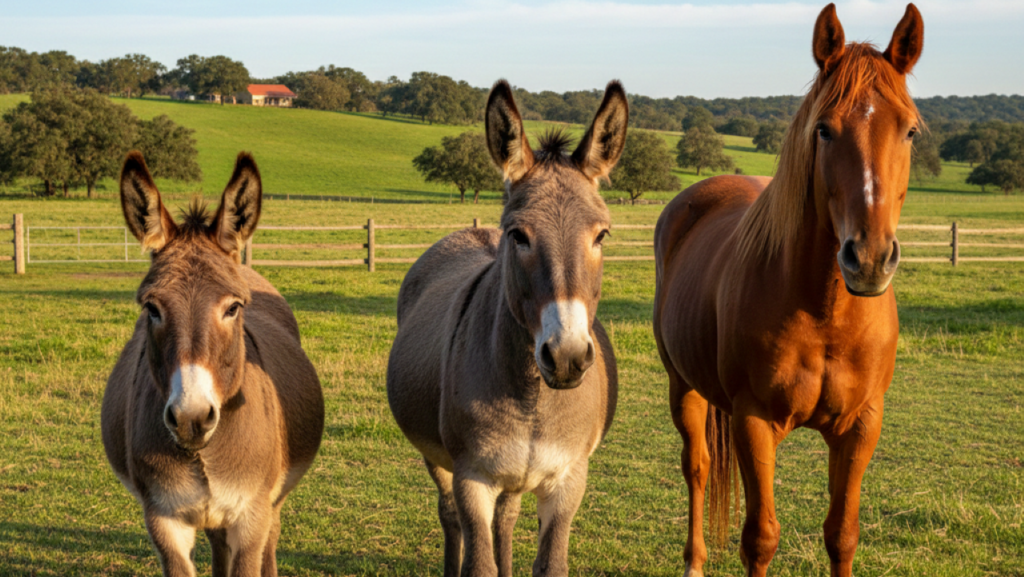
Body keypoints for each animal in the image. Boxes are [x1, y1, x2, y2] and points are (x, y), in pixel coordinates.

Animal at [101, 151, 325, 577]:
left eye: (233, 307)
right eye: (151, 308)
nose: (191, 417)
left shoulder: (251, 515)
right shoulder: (164, 520)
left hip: (271, 500)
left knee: (271, 539)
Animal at [386, 80, 626, 577]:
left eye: (601, 235)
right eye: (518, 235)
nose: (567, 356)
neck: (533, 397)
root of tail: (469, 232)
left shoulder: (568, 481)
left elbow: (550, 563)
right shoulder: (472, 476)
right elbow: (479, 563)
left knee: (507, 518)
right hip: (438, 458)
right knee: (448, 514)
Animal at [653, 4, 923, 576]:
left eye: (909, 131)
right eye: (824, 129)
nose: (868, 258)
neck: (826, 312)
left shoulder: (861, 426)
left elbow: (842, 534)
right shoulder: (754, 420)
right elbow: (760, 538)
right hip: (682, 386)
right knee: (697, 467)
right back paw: (693, 561)